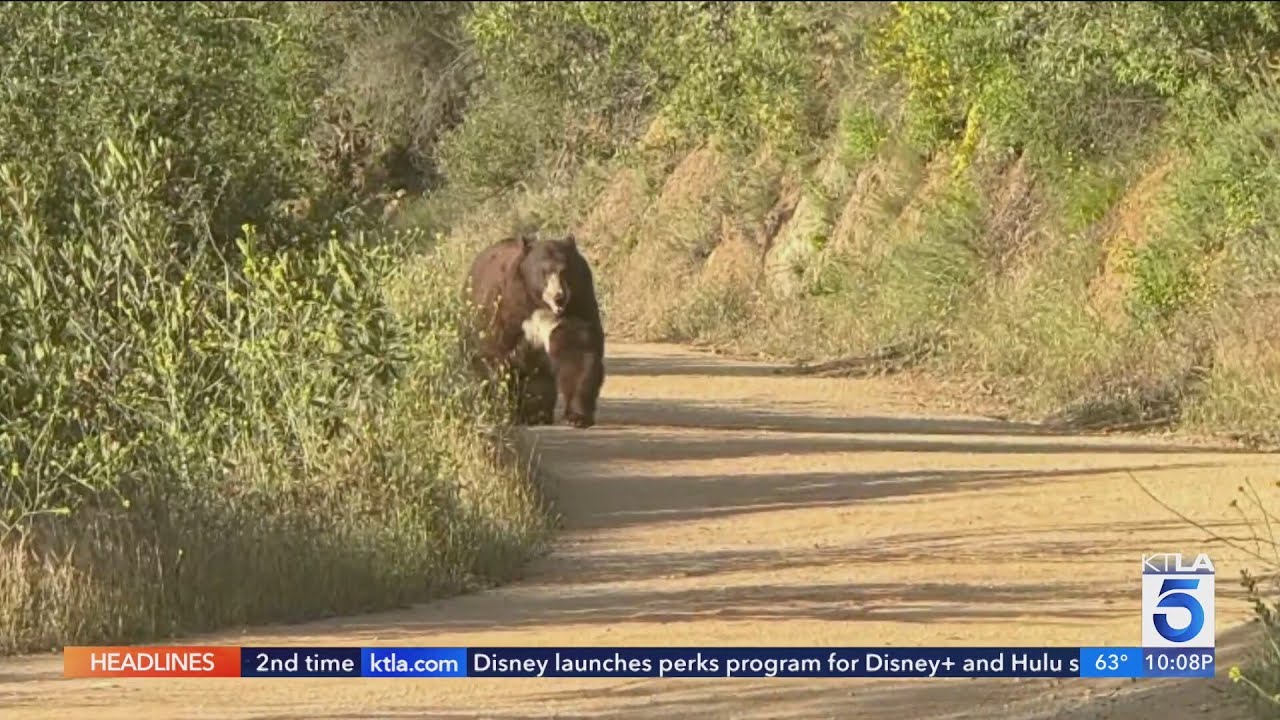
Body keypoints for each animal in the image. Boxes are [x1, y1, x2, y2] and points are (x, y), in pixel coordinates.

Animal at [464, 233, 604, 426]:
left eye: (564, 271)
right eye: (545, 272)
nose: (559, 297)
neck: (537, 302)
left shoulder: (578, 301)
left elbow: (578, 350)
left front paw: (577, 417)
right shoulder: (505, 303)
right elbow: (495, 349)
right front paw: (503, 409)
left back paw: (537, 415)